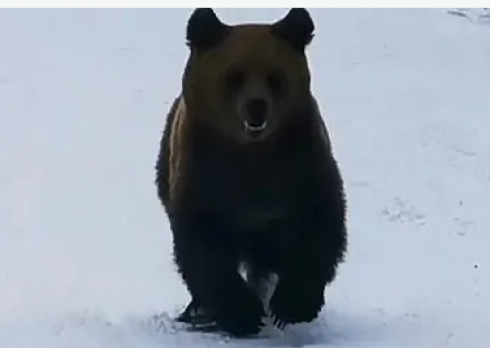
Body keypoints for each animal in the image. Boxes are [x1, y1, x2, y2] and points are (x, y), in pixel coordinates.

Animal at [155, 8, 346, 338]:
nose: (257, 107)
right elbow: (204, 248)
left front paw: (292, 305)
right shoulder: (205, 178)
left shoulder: (302, 167)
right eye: (234, 77)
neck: (252, 153)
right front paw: (243, 313)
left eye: (275, 78)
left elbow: (318, 228)